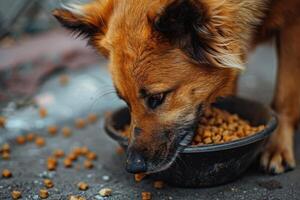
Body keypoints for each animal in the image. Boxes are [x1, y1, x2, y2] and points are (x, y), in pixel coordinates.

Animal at [53, 0, 300, 174]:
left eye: (156, 98)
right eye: (125, 102)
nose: (133, 166)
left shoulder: (293, 25)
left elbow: (284, 97)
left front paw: (277, 147)